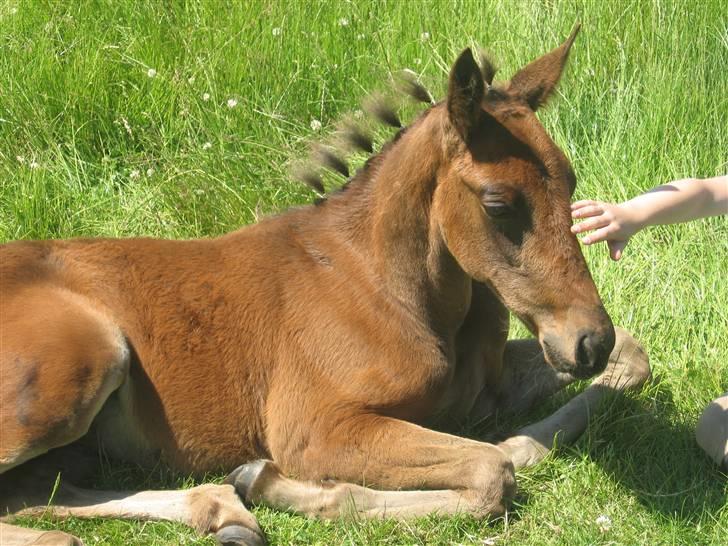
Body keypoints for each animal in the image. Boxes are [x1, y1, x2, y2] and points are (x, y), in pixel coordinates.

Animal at [0, 29, 648, 544]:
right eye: (498, 203)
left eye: (570, 181)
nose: (588, 342)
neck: (387, 288)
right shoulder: (315, 429)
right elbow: (490, 473)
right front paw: (277, 483)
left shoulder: (481, 388)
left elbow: (631, 360)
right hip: (82, 364)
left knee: (35, 491)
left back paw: (223, 512)